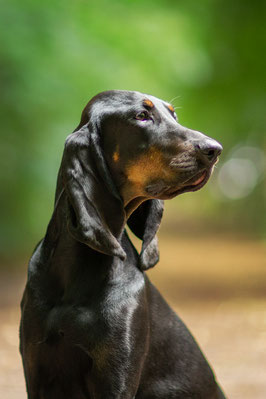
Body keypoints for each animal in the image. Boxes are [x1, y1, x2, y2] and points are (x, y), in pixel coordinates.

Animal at [19, 91, 225, 399]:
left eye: (174, 115)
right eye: (142, 116)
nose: (215, 149)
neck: (74, 276)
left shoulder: (116, 371)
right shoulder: (37, 369)